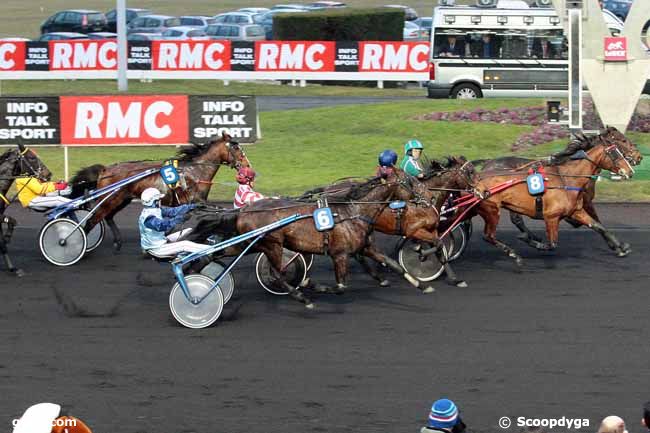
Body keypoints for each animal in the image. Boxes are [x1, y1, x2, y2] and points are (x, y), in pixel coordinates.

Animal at [69, 133, 248, 251]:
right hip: (110, 200)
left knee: (108, 217)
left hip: (121, 199)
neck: (195, 171)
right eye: (236, 148)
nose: (247, 165)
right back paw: (76, 244)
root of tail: (106, 170)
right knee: (92, 221)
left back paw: (117, 242)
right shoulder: (195, 201)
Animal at [470, 127, 636, 256]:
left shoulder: (578, 208)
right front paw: (618, 246)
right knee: (515, 219)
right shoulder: (572, 208)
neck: (568, 178)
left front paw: (620, 247)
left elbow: (598, 225)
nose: (636, 159)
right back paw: (530, 237)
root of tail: (488, 163)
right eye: (621, 141)